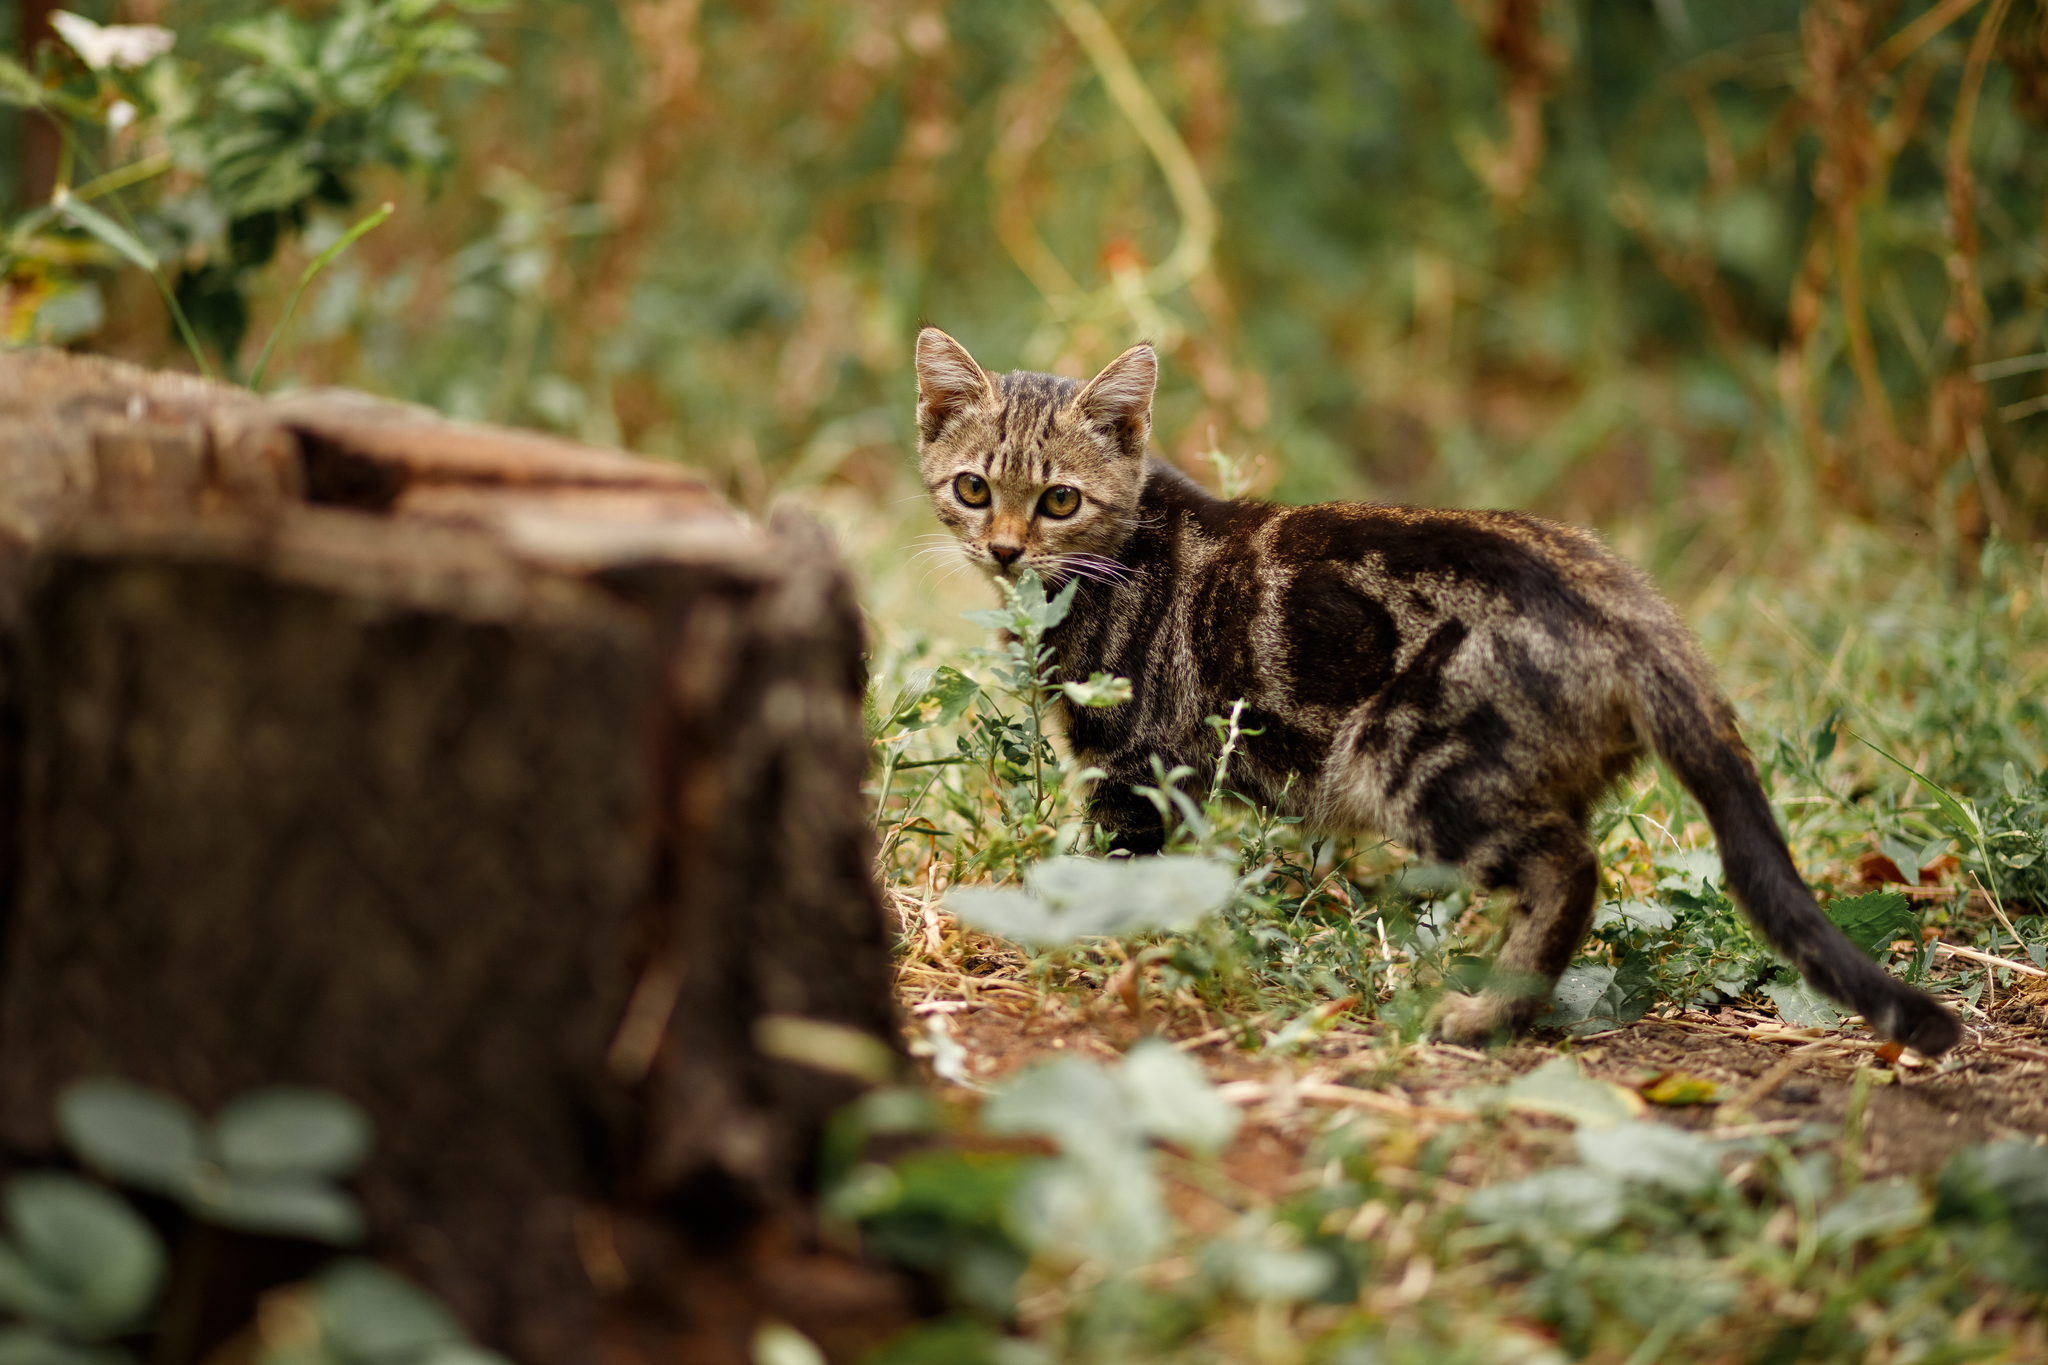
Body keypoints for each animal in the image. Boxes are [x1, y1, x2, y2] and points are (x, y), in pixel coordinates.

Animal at [921, 327, 1957, 1055]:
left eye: (1059, 499)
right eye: (972, 489)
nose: (1004, 548)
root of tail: (1637, 612)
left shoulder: (1133, 765)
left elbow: (1116, 875)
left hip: (1415, 761)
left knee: (1570, 868)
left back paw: (1484, 1017)